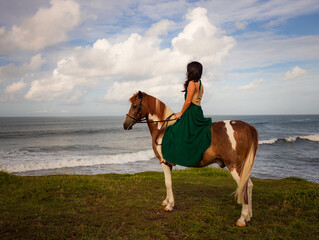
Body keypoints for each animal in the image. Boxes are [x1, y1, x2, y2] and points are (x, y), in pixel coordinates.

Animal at [124, 90, 258, 227]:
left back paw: (242, 218)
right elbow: (168, 182)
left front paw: (170, 205)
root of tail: (247, 127)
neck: (162, 129)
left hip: (234, 166)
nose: (125, 124)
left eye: (135, 105)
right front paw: (166, 201)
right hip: (242, 167)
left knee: (244, 187)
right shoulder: (168, 163)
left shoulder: (164, 162)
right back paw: (248, 216)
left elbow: (168, 183)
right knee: (249, 185)